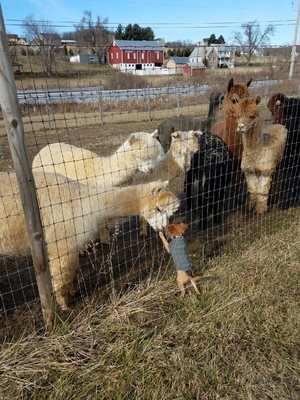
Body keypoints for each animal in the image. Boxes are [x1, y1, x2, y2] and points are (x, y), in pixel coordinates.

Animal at [0, 172, 179, 310]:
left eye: (170, 214)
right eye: (158, 208)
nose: (162, 227)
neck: (84, 202)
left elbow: (72, 272)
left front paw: (73, 293)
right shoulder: (62, 243)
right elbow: (63, 275)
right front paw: (65, 306)